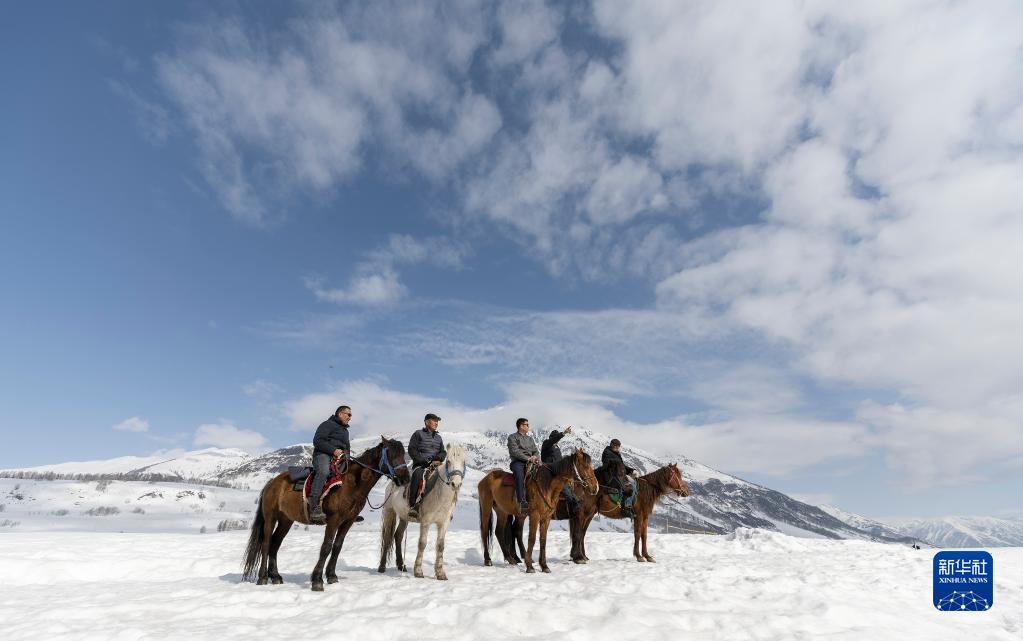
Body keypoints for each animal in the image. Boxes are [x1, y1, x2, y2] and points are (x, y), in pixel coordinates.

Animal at [242, 437, 411, 591]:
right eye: (391, 454)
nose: (405, 478)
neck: (352, 483)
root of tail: (271, 483)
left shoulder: (348, 521)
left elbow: (337, 546)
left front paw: (331, 576)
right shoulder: (334, 520)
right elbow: (326, 547)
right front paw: (317, 580)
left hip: (286, 521)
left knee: (275, 544)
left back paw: (276, 576)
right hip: (270, 517)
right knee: (266, 544)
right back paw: (263, 578)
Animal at [377, 442, 467, 580]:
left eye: (463, 462)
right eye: (449, 462)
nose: (455, 484)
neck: (439, 494)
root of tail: (392, 483)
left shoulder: (444, 523)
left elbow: (440, 546)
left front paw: (440, 573)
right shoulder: (426, 522)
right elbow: (422, 543)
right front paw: (418, 571)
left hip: (404, 518)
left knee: (398, 536)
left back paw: (401, 565)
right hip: (389, 512)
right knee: (387, 537)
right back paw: (382, 567)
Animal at [561, 462, 689, 563]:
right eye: (677, 476)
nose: (686, 491)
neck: (644, 491)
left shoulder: (645, 517)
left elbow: (644, 535)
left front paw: (647, 556)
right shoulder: (639, 516)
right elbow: (637, 534)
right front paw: (639, 556)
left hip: (590, 514)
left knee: (582, 533)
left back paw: (583, 556)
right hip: (585, 514)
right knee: (579, 532)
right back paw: (579, 556)